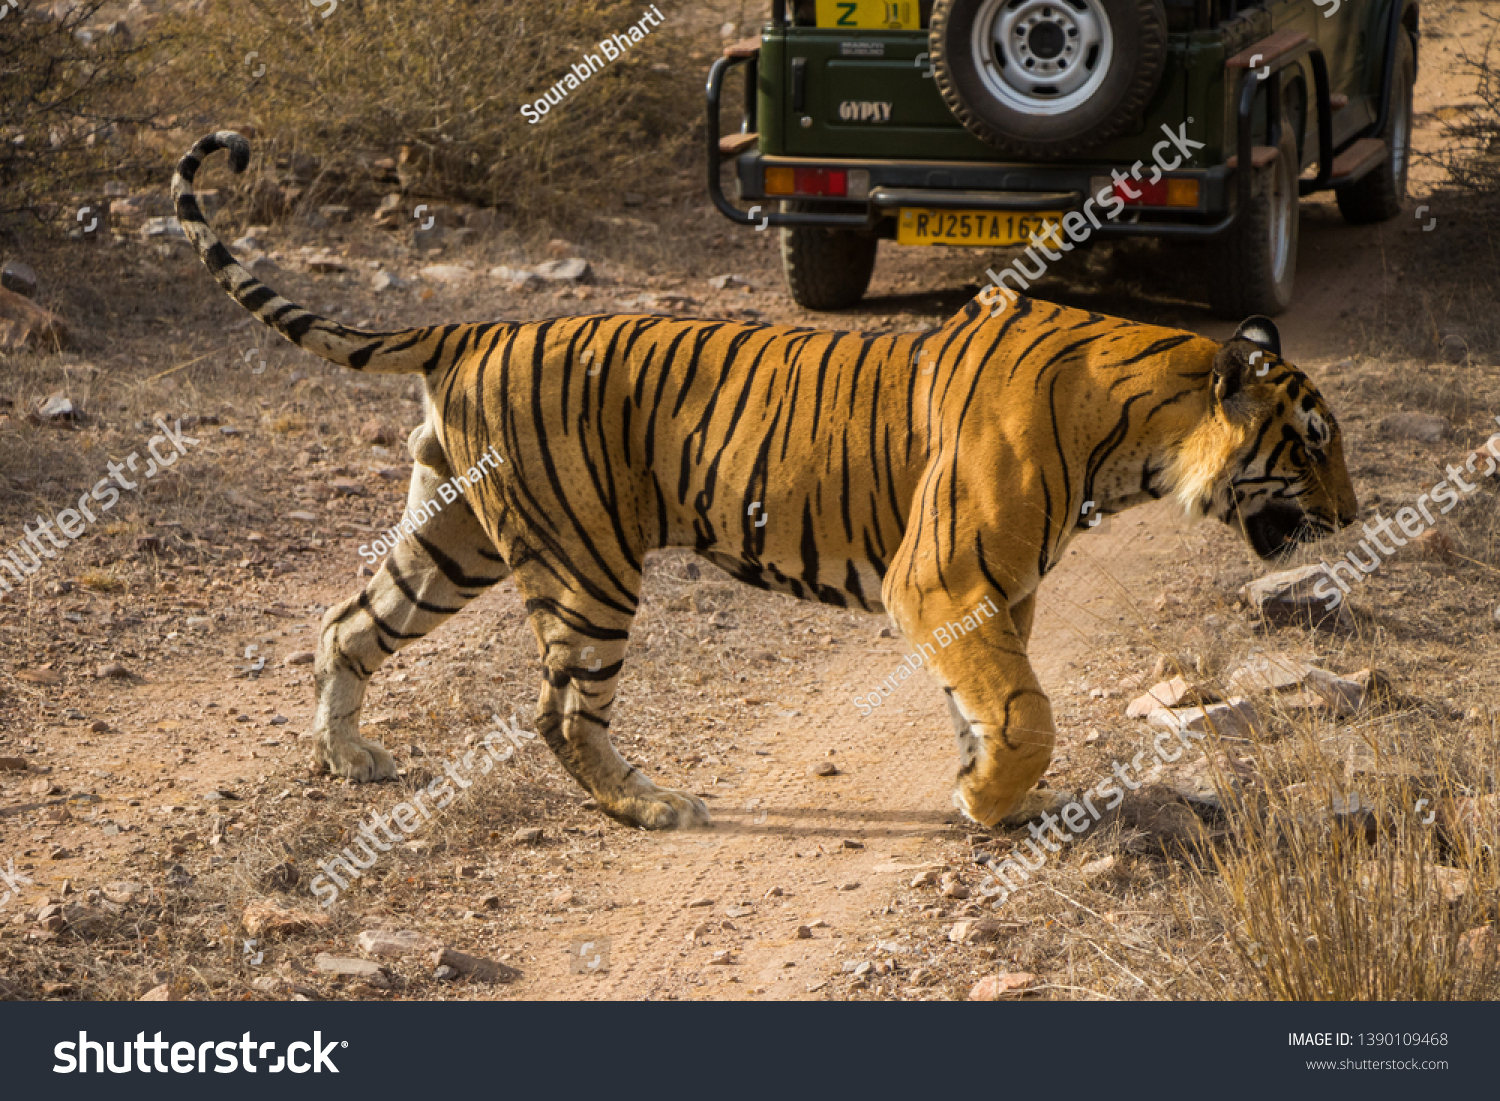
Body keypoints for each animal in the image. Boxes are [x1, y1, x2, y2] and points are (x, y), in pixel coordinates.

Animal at [172, 133, 1362, 834]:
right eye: (1311, 443)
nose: (1357, 516)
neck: (1136, 425)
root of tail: (477, 325)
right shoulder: (941, 581)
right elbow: (1023, 708)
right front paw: (990, 799)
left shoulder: (995, 593)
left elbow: (990, 697)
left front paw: (987, 794)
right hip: (587, 561)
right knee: (560, 709)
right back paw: (649, 806)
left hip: (453, 536)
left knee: (346, 624)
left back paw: (348, 760)